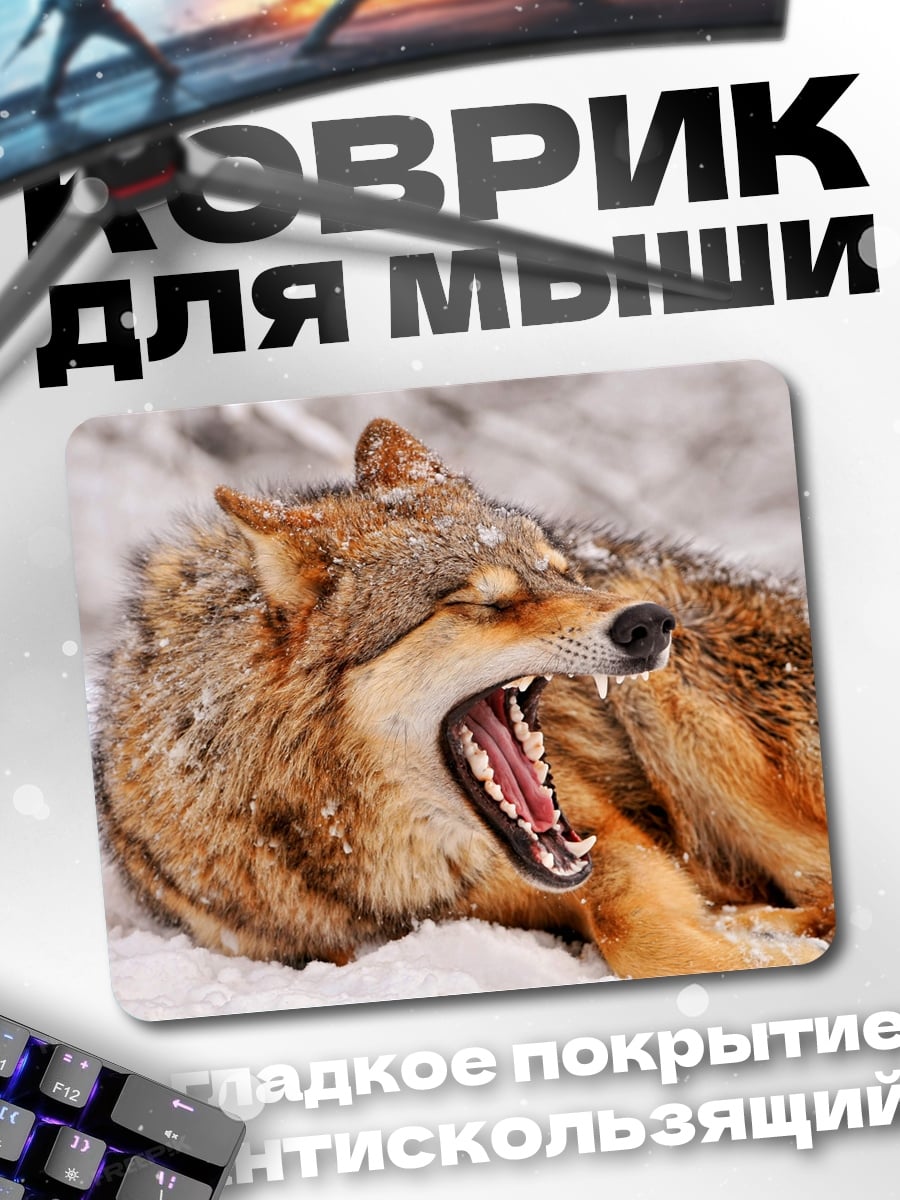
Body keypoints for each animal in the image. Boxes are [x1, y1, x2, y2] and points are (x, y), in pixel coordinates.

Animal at [93, 418, 833, 981]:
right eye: (484, 602)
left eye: (562, 574)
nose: (650, 625)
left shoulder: (611, 842)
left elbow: (642, 934)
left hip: (678, 711)